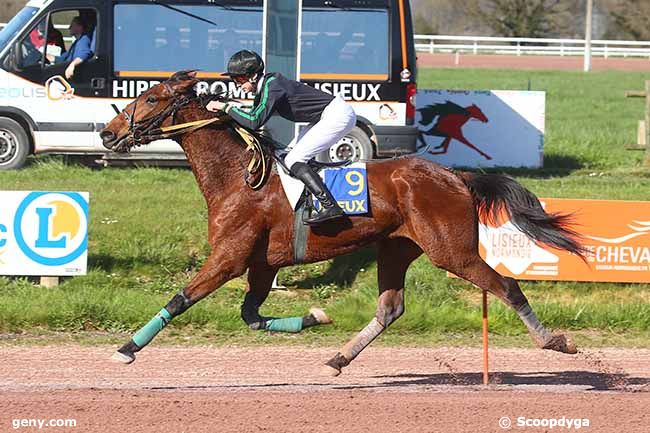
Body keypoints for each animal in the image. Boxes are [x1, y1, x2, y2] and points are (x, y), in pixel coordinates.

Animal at [100, 71, 584, 374]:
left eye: (151, 99)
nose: (107, 133)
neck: (238, 177)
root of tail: (456, 176)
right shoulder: (263, 264)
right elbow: (251, 316)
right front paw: (314, 317)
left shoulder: (229, 258)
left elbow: (182, 298)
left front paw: (126, 349)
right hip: (396, 247)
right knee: (390, 308)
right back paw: (339, 359)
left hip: (452, 251)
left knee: (507, 286)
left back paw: (555, 342)